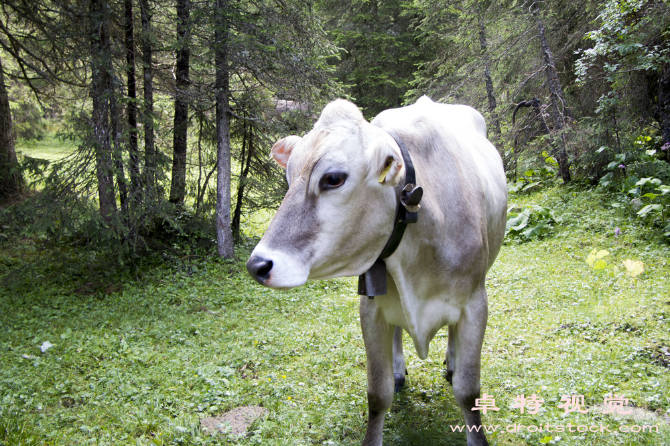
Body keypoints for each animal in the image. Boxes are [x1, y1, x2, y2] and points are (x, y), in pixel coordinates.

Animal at [248, 96, 510, 444]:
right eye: (289, 178)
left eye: (333, 178)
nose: (258, 265)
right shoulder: (370, 310)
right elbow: (377, 394)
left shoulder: (476, 304)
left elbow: (468, 392)